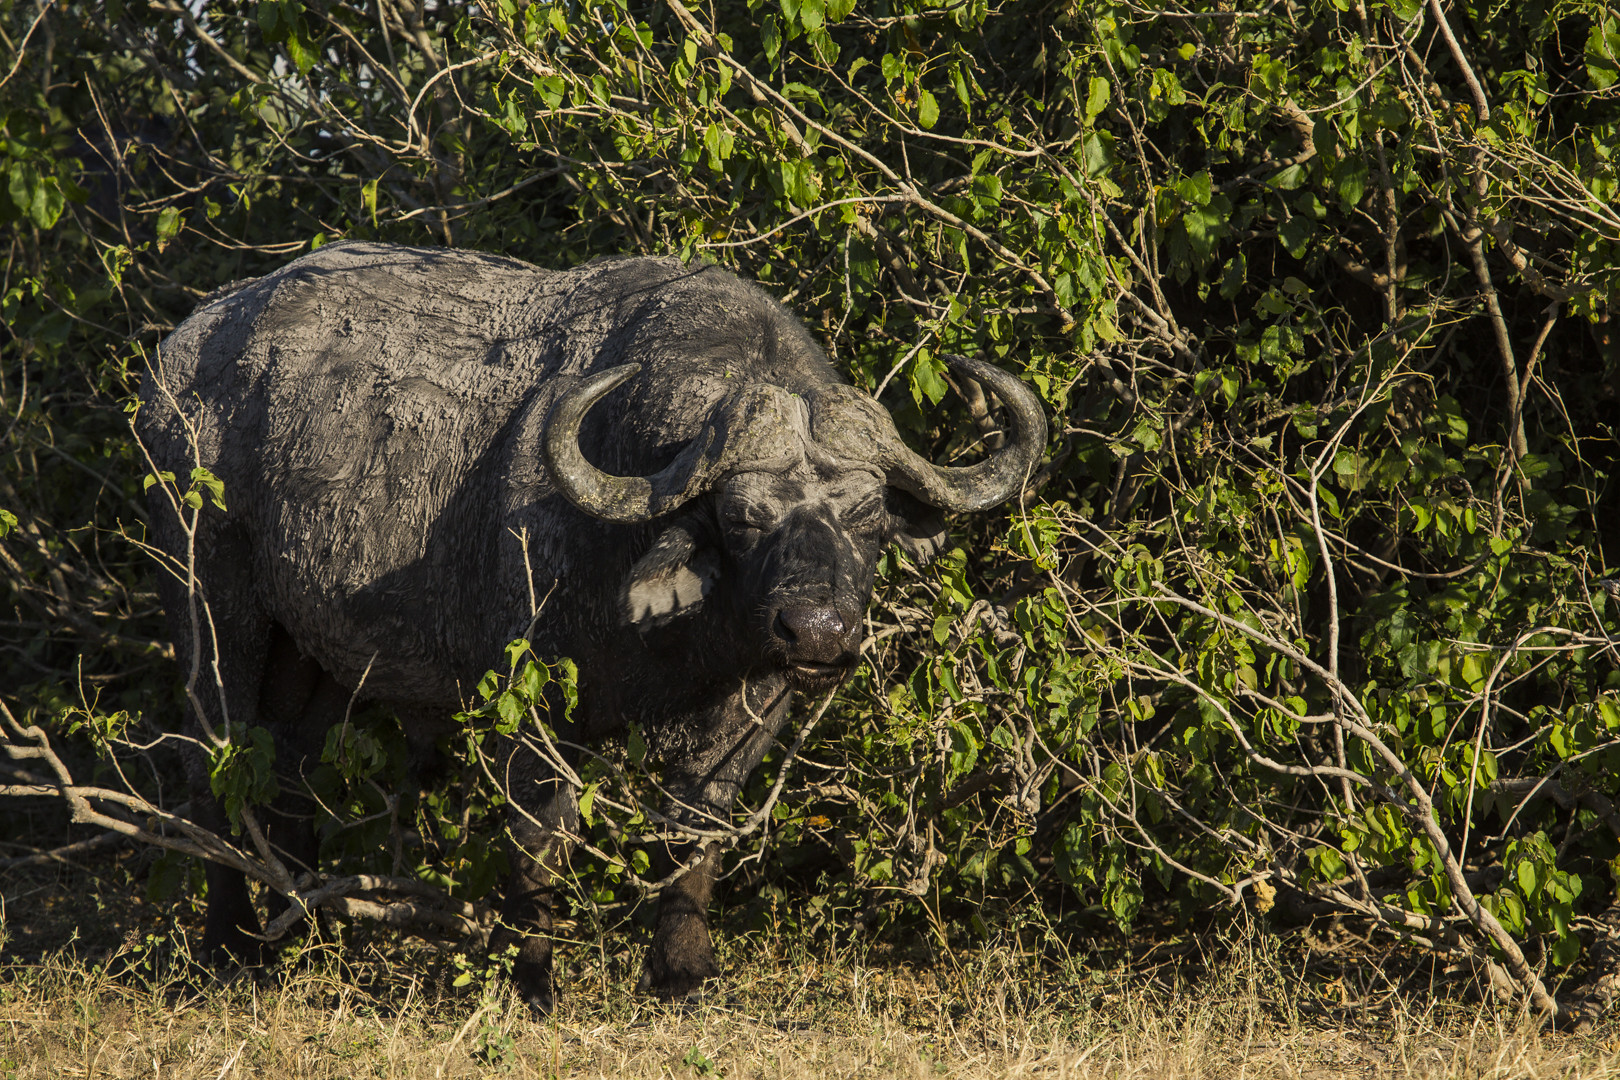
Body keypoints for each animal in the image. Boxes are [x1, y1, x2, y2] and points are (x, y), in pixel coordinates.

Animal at [139, 241, 1049, 1010]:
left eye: (866, 515)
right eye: (742, 516)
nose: (816, 630)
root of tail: (178, 360)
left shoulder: (752, 713)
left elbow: (697, 830)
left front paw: (683, 973)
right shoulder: (531, 706)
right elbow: (539, 840)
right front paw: (533, 980)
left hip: (319, 657)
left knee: (292, 771)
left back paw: (304, 936)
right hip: (210, 607)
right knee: (216, 766)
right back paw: (230, 949)